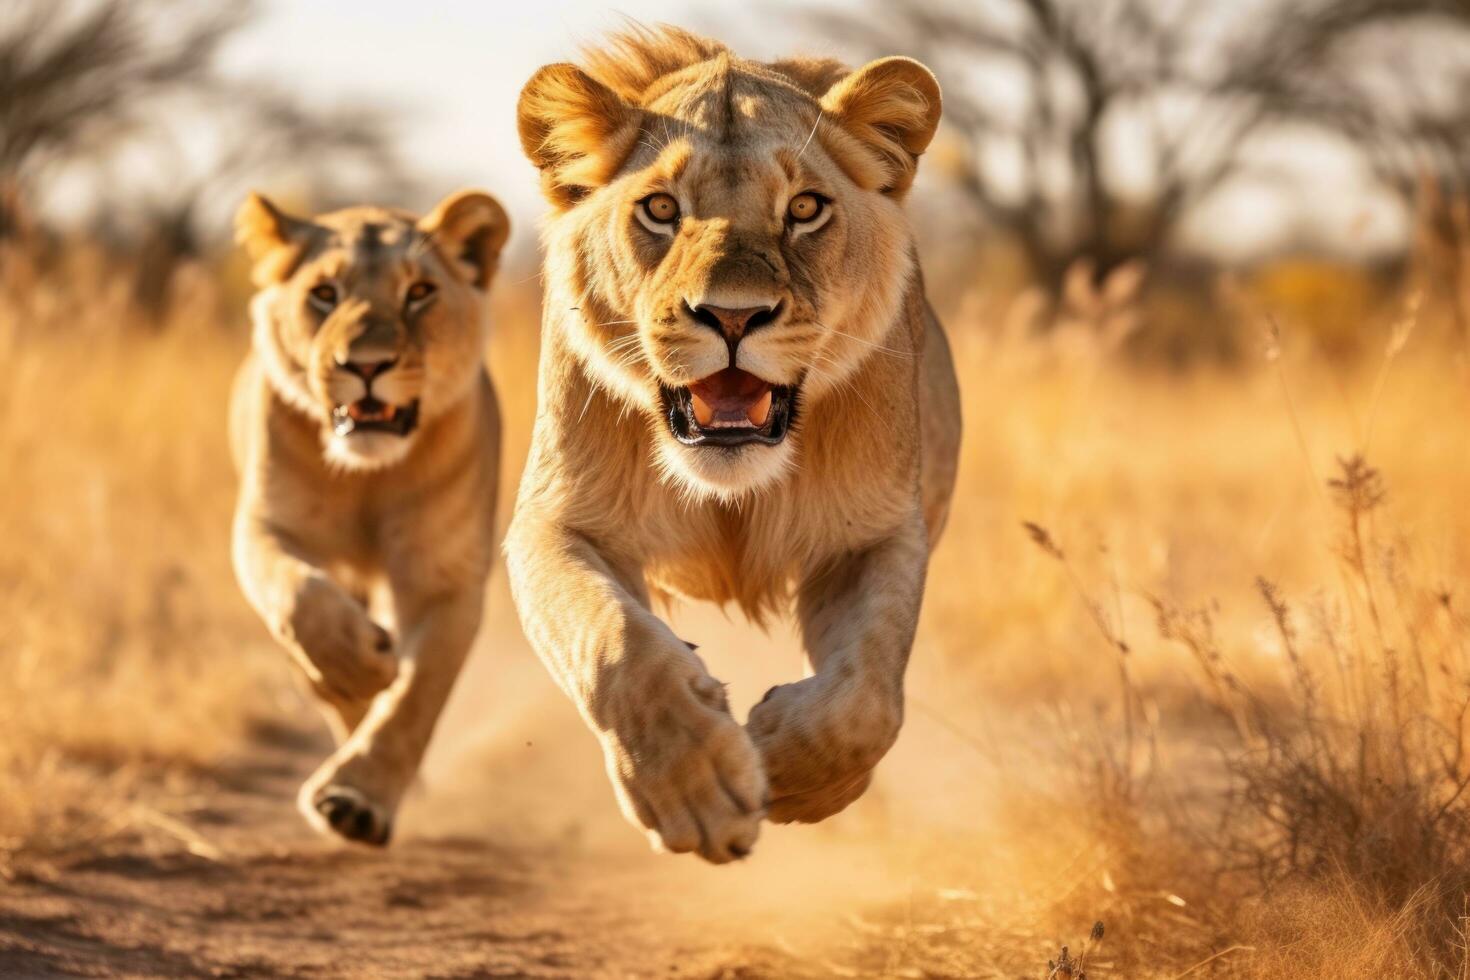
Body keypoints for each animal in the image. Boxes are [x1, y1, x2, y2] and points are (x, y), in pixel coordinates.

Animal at [226, 189, 508, 846]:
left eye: (420, 292)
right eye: (324, 293)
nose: (368, 365)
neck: (369, 478)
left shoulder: (444, 578)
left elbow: (417, 696)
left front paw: (355, 801)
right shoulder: (265, 527)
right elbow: (301, 599)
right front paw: (360, 669)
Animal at [505, 26, 964, 863]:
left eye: (806, 208)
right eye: (660, 208)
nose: (732, 316)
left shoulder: (877, 532)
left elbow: (867, 698)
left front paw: (785, 762)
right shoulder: (554, 521)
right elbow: (616, 644)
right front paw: (697, 785)